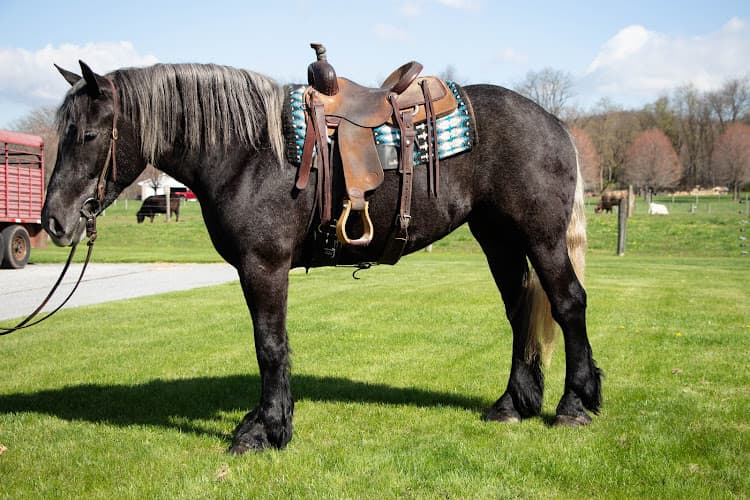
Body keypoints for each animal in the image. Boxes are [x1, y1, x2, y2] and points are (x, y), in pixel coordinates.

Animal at [43, 60, 602, 454]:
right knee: (521, 310)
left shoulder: (263, 266)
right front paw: (270, 421)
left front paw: (266, 430)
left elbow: (269, 346)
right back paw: (514, 404)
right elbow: (275, 346)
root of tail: (554, 123)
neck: (249, 154)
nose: (54, 221)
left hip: (540, 236)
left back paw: (575, 404)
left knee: (568, 303)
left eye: (88, 134)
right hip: (498, 238)